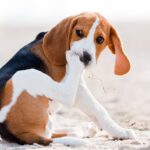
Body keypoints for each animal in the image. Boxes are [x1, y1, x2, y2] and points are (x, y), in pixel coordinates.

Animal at [0, 12, 135, 146]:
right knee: (66, 95)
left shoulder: (79, 88)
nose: (85, 57)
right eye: (79, 32)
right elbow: (97, 109)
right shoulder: (77, 87)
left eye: (100, 39)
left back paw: (83, 129)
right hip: (24, 75)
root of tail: (20, 135)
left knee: (55, 133)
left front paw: (119, 132)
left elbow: (98, 110)